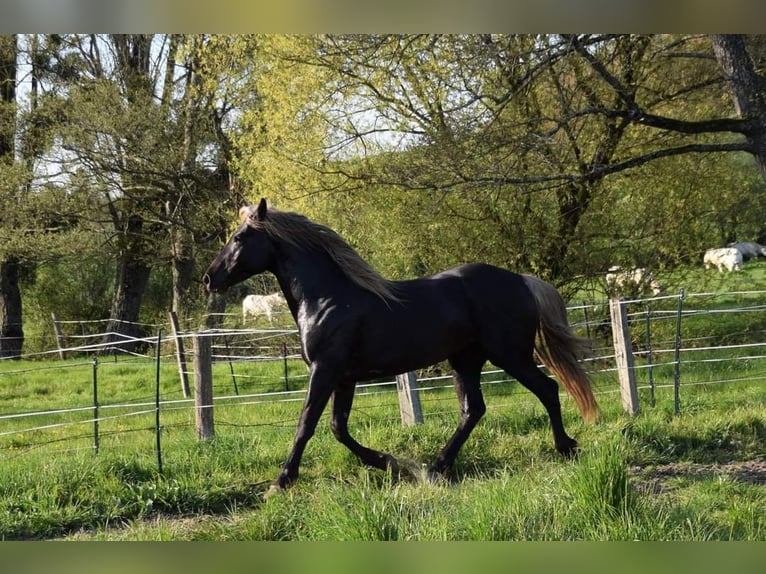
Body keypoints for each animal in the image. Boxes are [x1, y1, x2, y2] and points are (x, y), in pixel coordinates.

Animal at [203, 198, 599, 497]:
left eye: (239, 237)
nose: (209, 278)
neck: (327, 300)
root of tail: (522, 280)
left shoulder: (325, 370)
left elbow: (306, 424)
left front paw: (280, 482)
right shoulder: (344, 378)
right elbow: (338, 428)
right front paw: (394, 465)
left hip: (510, 354)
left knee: (547, 389)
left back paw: (566, 447)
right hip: (466, 360)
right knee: (473, 410)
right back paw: (436, 468)